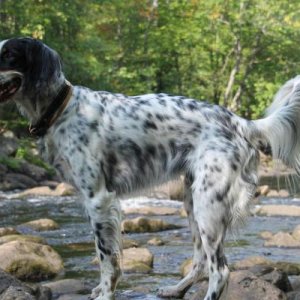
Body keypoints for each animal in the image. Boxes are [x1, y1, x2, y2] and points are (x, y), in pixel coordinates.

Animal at [0, 37, 300, 300]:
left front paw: (105, 294)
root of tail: (239, 122)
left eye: (9, 55)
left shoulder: (99, 199)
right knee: (201, 261)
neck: (62, 110)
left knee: (220, 271)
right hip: (193, 201)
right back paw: (175, 289)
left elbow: (107, 259)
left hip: (208, 206)